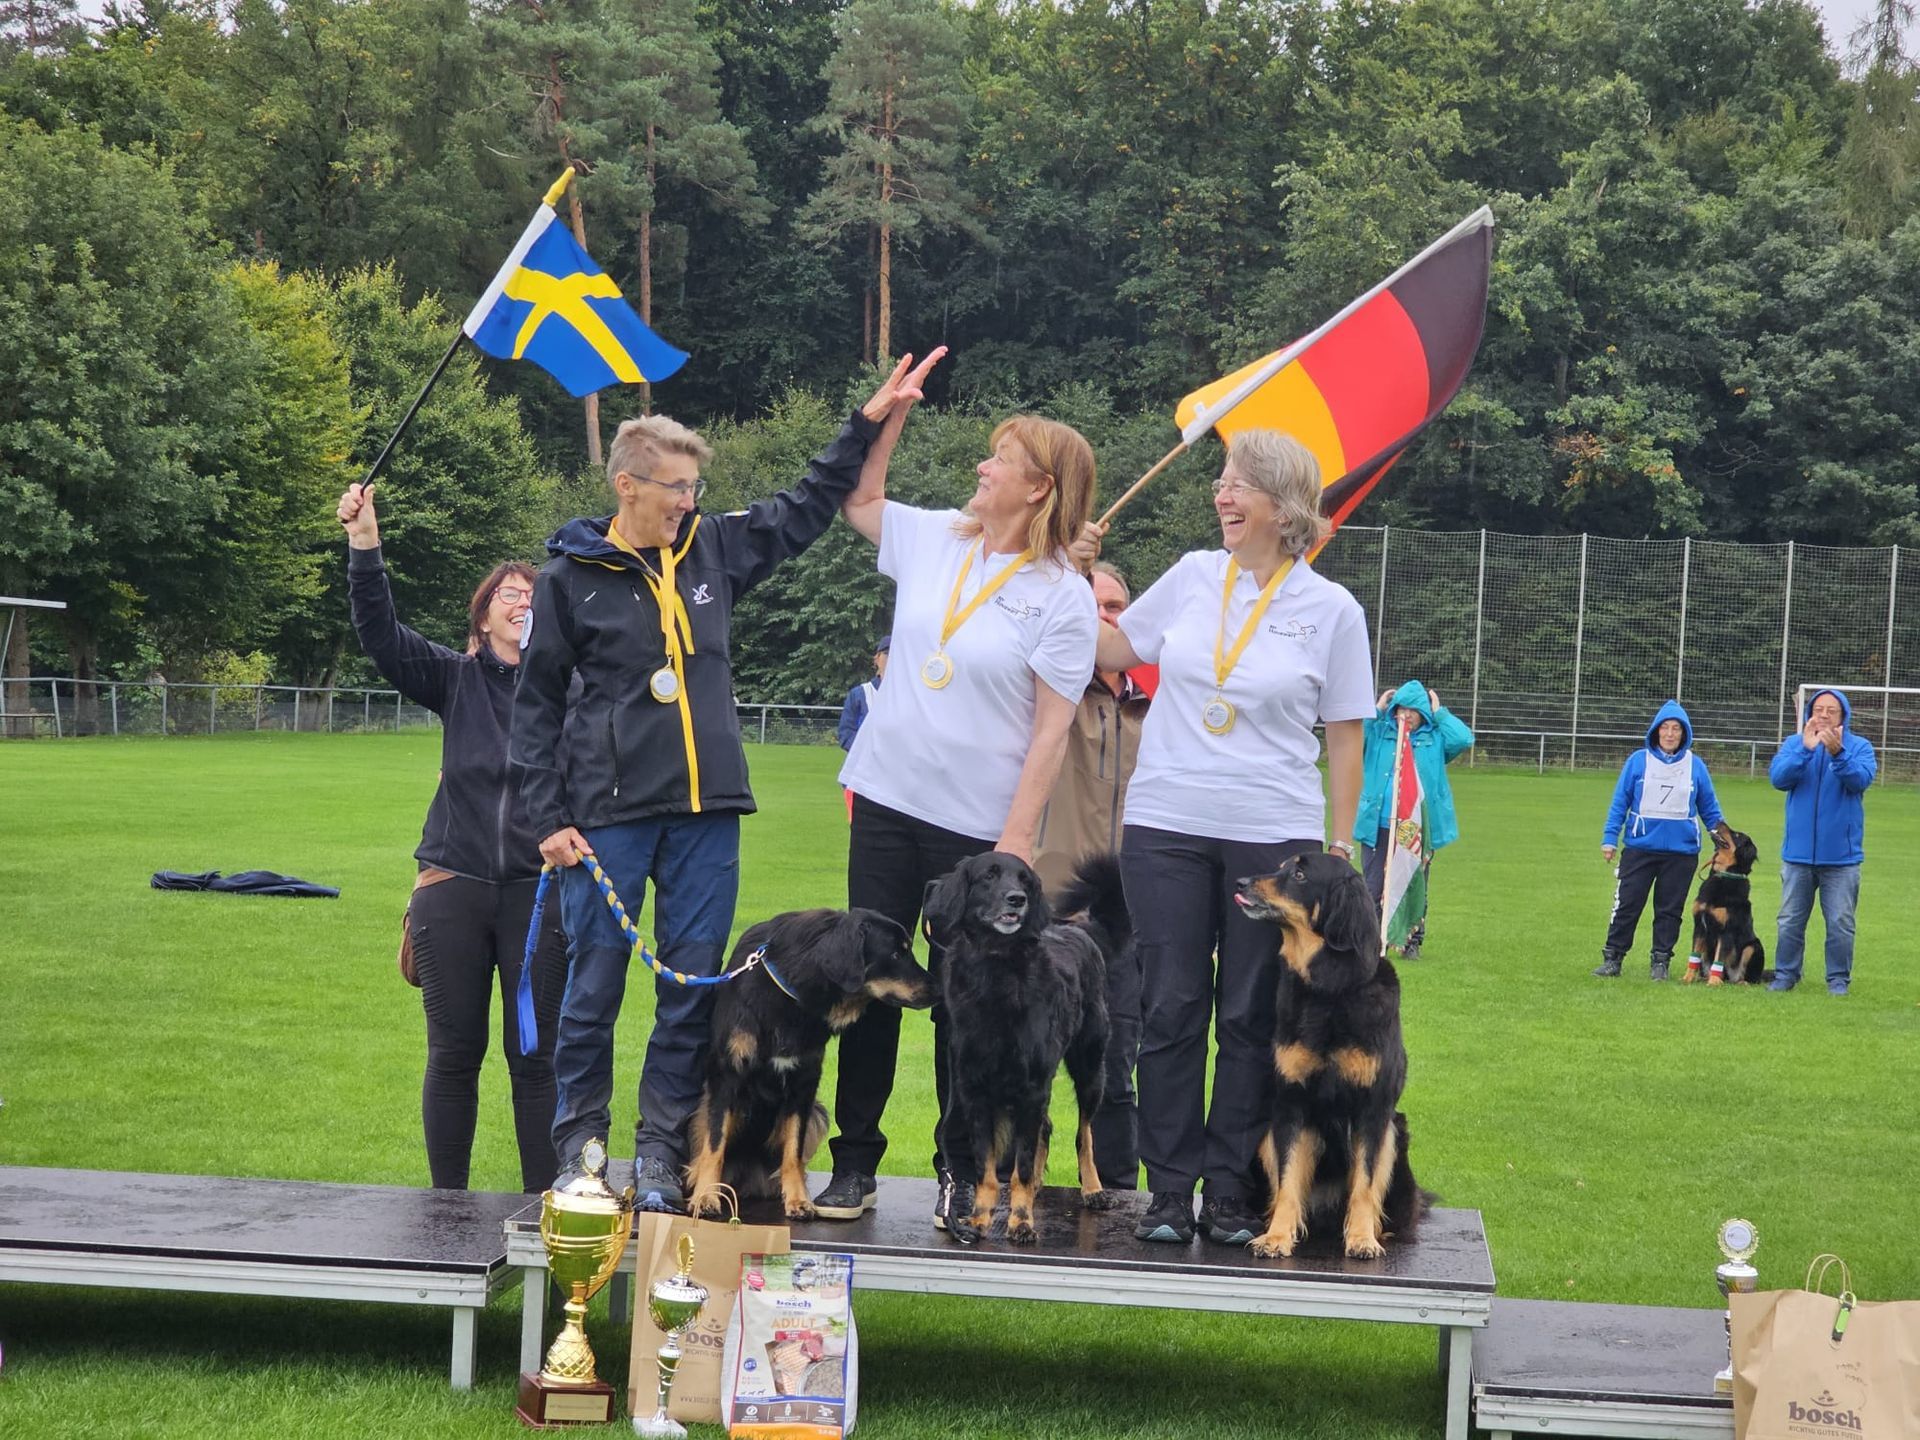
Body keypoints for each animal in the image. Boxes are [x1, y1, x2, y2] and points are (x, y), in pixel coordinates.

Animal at [685, 908, 931, 1220]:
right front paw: (706, 1195)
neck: (791, 992)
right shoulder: (728, 1075)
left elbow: (793, 1150)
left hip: (818, 1113)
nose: (938, 989)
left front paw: (798, 1199)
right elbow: (714, 1145)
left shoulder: (803, 1083)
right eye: (897, 954)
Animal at [923, 851, 1116, 1245]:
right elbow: (985, 1168)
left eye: (1025, 879)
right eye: (988, 876)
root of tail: (1079, 930)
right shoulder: (975, 1093)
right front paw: (979, 1219)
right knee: (1047, 1126)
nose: (1017, 899)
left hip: (1090, 1066)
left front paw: (1022, 1221)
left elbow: (1021, 1167)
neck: (996, 969)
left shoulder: (1031, 1089)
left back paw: (1092, 1189)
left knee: (1084, 1133)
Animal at [1234, 851, 1430, 1260]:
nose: (1241, 882)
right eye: (1281, 866)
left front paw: (1362, 1238)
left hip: (1395, 1132)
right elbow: (1289, 1180)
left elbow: (1365, 1184)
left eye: (1299, 874)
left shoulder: (1372, 1111)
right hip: (1266, 1134)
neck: (1328, 988)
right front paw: (1277, 1237)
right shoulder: (1291, 1104)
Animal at [1686, 828, 1768, 986]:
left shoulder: (1726, 931)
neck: (1723, 874)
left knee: (1748, 978)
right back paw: (1704, 978)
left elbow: (1719, 958)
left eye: (1737, 835)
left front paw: (1713, 982)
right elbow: (1694, 955)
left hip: (1753, 947)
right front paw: (1687, 978)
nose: (1719, 822)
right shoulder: (1699, 926)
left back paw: (1740, 982)